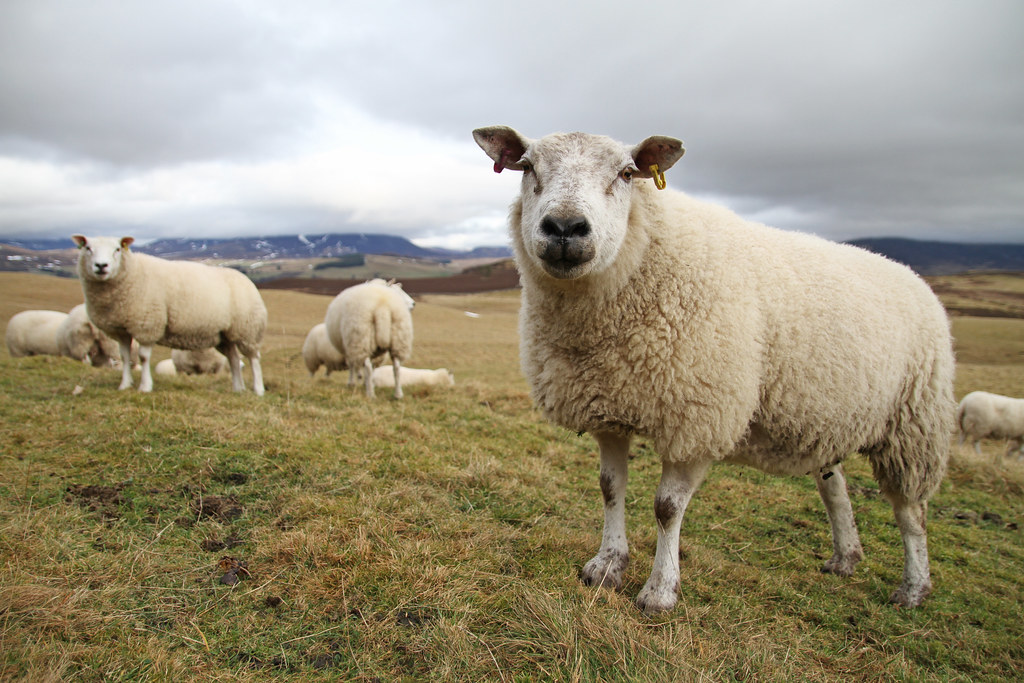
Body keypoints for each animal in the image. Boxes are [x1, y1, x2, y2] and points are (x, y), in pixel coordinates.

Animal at [72, 235, 267, 395]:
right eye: (88, 248)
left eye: (117, 249)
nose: (101, 266)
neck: (132, 273)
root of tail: (246, 280)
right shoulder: (122, 331)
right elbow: (125, 357)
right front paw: (125, 385)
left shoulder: (148, 324)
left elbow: (143, 357)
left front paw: (145, 387)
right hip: (225, 336)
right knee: (234, 359)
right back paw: (238, 388)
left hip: (247, 330)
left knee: (254, 359)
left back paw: (258, 389)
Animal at [474, 126, 956, 614]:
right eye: (527, 167)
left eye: (627, 173)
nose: (565, 227)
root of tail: (913, 277)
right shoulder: (607, 407)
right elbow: (610, 487)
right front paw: (606, 565)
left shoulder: (698, 417)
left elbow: (667, 508)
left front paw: (660, 591)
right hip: (829, 419)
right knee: (834, 488)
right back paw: (845, 558)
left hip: (914, 424)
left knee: (911, 510)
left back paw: (914, 587)